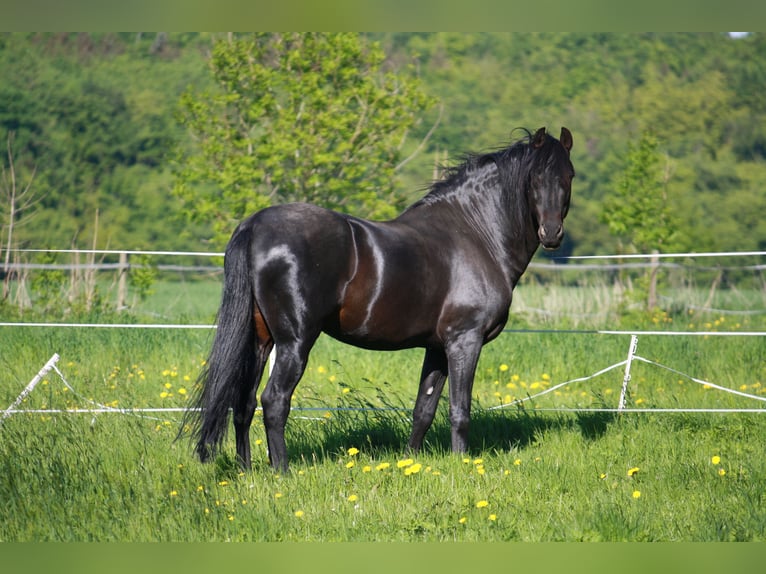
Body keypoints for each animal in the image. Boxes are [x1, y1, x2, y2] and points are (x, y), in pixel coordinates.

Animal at [188, 126, 576, 472]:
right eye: (535, 178)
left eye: (569, 176)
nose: (552, 233)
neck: (475, 233)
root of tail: (255, 224)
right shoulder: (465, 341)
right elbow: (459, 411)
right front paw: (463, 464)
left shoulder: (437, 348)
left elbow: (423, 409)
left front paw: (410, 462)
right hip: (294, 342)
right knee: (274, 401)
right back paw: (281, 471)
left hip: (260, 339)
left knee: (244, 403)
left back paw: (247, 470)